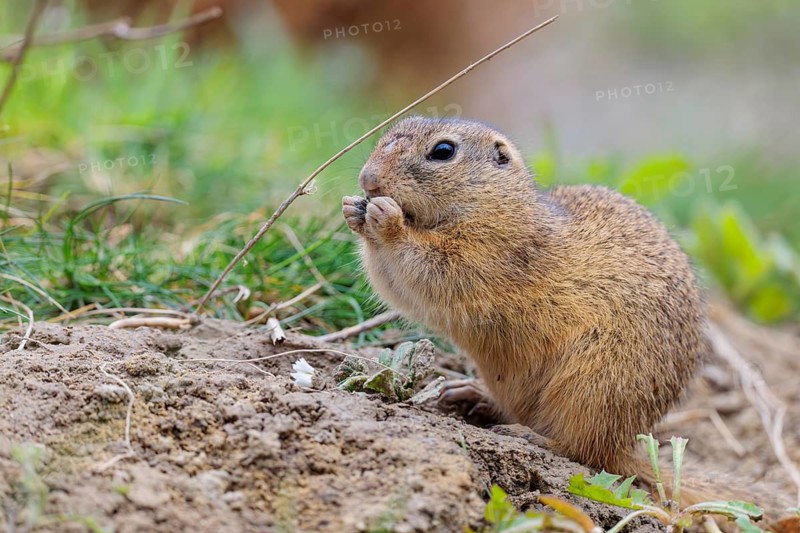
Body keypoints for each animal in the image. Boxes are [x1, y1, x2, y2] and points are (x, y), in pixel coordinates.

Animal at [342, 116, 716, 502]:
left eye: (443, 151)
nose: (368, 179)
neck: (499, 205)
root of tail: (626, 445)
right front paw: (353, 210)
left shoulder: (488, 253)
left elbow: (433, 268)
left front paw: (386, 218)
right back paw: (469, 394)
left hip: (595, 385)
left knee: (583, 451)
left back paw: (527, 435)